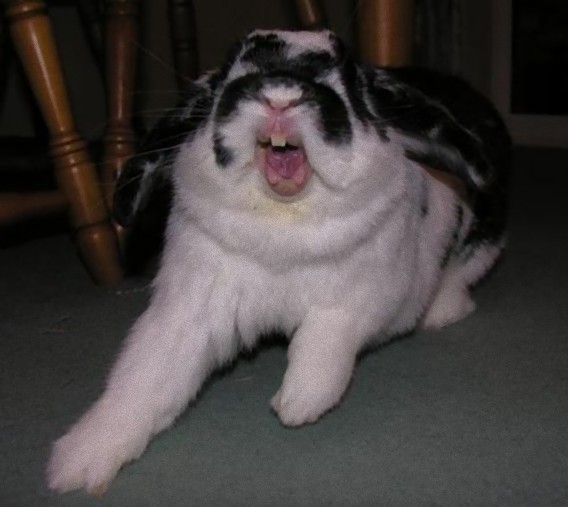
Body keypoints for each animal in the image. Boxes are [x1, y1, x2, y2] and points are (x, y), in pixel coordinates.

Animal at [47, 29, 510, 495]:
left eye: (345, 74)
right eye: (229, 72)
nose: (280, 95)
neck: (283, 220)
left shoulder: (369, 295)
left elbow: (326, 336)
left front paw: (298, 402)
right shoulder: (189, 310)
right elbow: (144, 376)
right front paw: (74, 464)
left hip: (483, 244)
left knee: (460, 281)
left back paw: (441, 312)